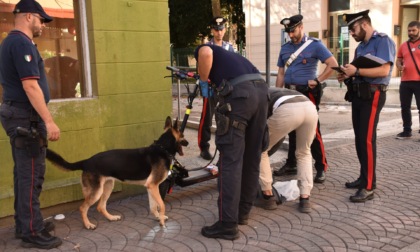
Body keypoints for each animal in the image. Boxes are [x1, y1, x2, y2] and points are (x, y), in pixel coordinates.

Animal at [45, 117, 187, 229]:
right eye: (183, 136)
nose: (188, 142)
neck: (162, 148)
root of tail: (86, 161)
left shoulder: (151, 187)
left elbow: (154, 206)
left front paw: (158, 218)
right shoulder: (153, 186)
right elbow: (161, 205)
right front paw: (162, 222)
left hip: (108, 186)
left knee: (100, 207)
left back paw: (111, 218)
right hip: (97, 191)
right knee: (83, 208)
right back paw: (88, 225)